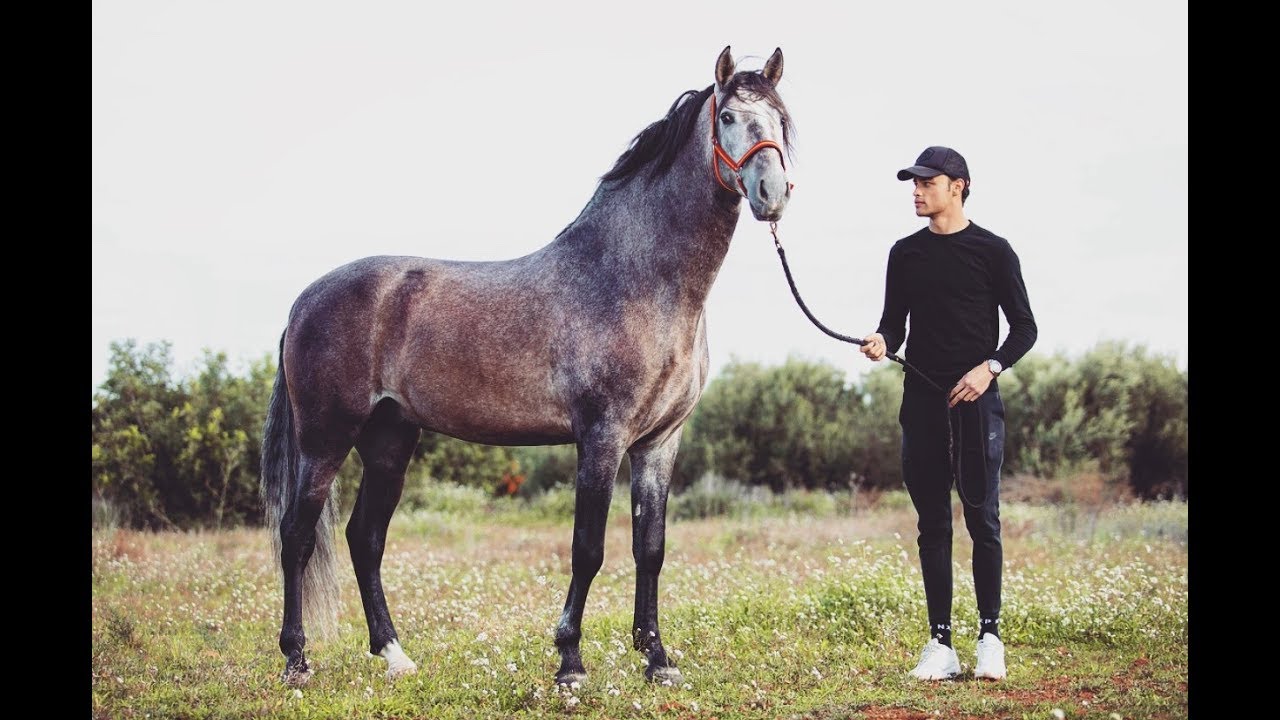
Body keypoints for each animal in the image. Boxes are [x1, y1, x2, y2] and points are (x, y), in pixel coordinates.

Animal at [260, 45, 793, 688]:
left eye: (782, 119)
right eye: (730, 117)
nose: (772, 192)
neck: (635, 280)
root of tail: (304, 301)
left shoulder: (660, 441)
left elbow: (651, 549)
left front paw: (657, 659)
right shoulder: (602, 436)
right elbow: (588, 549)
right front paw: (570, 663)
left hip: (389, 439)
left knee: (365, 539)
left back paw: (394, 655)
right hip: (326, 439)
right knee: (296, 538)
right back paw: (296, 661)